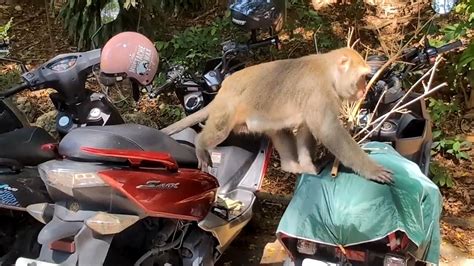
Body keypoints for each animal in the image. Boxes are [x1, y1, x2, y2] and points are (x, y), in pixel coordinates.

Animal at [162, 47, 392, 183]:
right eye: (362, 77)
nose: (364, 90)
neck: (328, 72)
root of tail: (223, 90)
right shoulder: (318, 92)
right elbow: (329, 131)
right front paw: (372, 170)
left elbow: (306, 130)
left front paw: (308, 166)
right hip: (227, 109)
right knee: (218, 131)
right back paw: (201, 145)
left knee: (278, 129)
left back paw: (291, 166)